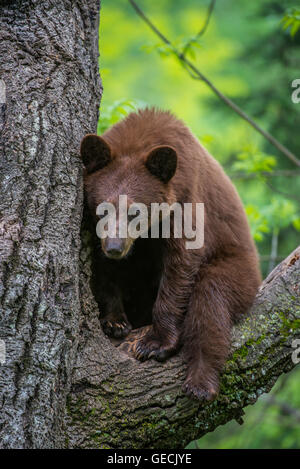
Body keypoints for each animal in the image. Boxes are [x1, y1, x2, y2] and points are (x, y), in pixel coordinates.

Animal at [81, 108, 262, 400]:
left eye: (135, 211)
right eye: (103, 208)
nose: (115, 249)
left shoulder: (187, 201)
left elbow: (181, 265)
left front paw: (156, 343)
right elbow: (104, 271)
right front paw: (114, 322)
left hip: (236, 266)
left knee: (209, 303)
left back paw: (200, 382)